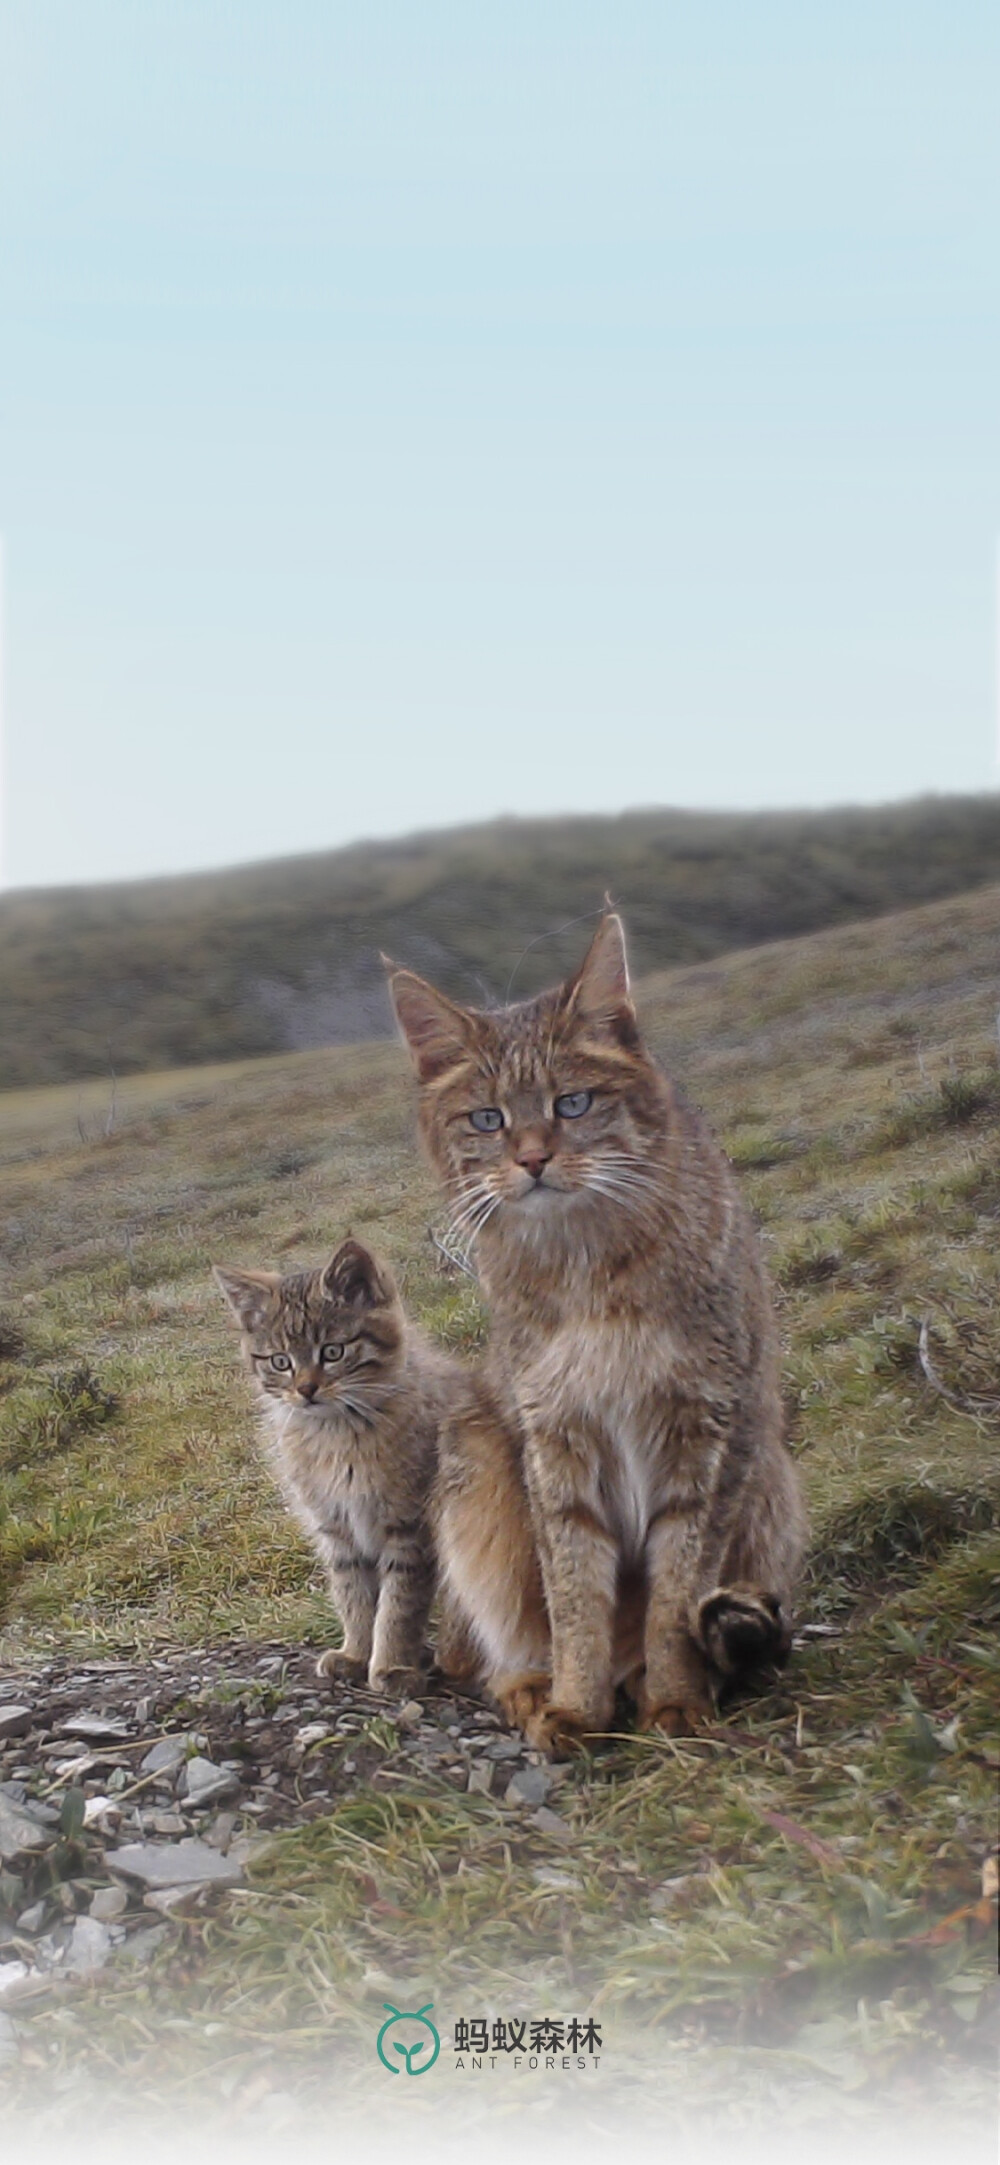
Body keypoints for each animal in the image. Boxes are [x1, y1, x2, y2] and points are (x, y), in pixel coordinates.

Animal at [215, 1238, 461, 1688]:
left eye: (332, 1352)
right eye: (280, 1361)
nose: (306, 1389)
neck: (338, 1436)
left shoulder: (409, 1528)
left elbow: (399, 1605)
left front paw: (390, 1664)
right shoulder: (336, 1528)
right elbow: (355, 1597)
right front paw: (357, 1654)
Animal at [387, 913, 809, 1757]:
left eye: (573, 1102)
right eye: (488, 1118)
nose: (532, 1159)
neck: (587, 1266)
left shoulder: (713, 1429)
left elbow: (676, 1593)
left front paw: (675, 1697)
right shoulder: (555, 1437)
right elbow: (572, 1590)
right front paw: (578, 1704)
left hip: (775, 1475)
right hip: (476, 1448)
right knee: (493, 1636)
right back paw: (529, 1682)